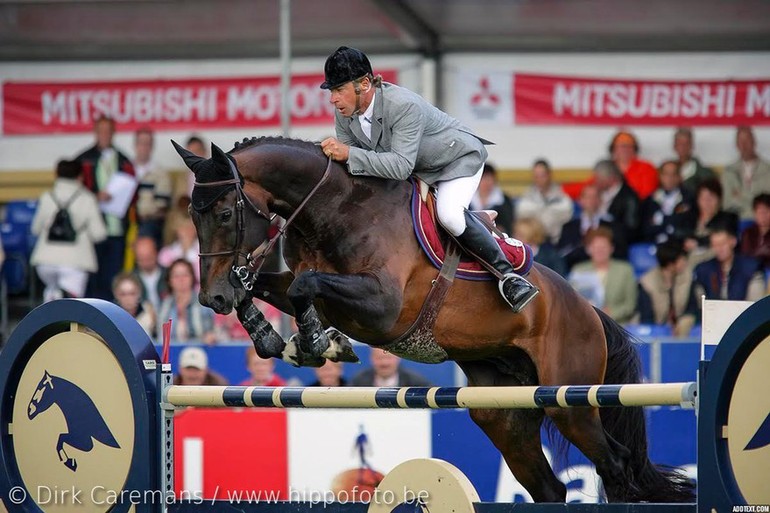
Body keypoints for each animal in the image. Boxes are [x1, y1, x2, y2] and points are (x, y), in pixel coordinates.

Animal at [172, 137, 688, 504]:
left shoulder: (382, 306)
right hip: (503, 412)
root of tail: (588, 311)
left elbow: (304, 288)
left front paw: (315, 343)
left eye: (224, 213)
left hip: (571, 403)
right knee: (549, 487)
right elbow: (270, 286)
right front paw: (278, 338)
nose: (211, 297)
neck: (334, 210)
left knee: (616, 466)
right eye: (193, 217)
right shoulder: (304, 283)